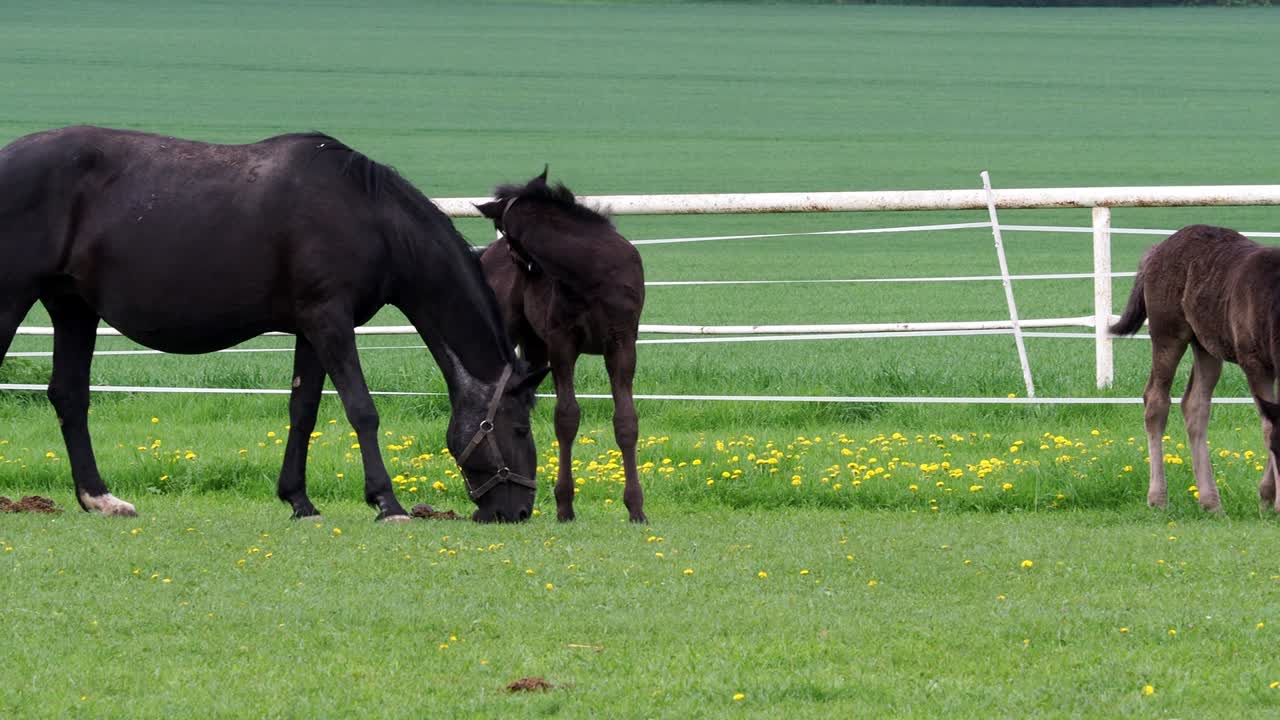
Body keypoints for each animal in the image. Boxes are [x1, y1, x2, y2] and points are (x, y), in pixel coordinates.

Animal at [0, 126, 547, 523]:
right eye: (519, 428)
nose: (518, 511)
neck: (367, 215)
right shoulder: (330, 320)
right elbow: (361, 409)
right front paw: (386, 503)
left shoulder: (311, 328)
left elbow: (303, 411)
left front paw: (299, 501)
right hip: (15, 297)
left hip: (72, 307)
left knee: (69, 395)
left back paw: (100, 499)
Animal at [475, 170, 648, 523]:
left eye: (509, 237)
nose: (525, 271)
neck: (590, 271)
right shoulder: (562, 344)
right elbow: (567, 417)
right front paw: (564, 505)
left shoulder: (622, 345)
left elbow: (626, 420)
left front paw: (637, 509)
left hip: (534, 345)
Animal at [1111, 224, 1280, 513]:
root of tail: (1157, 249)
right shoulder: (1255, 364)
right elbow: (1270, 428)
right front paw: (1271, 498)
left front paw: (1267, 497)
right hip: (1168, 334)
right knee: (1156, 400)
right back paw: (1158, 498)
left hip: (1206, 347)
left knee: (1195, 405)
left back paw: (1210, 502)